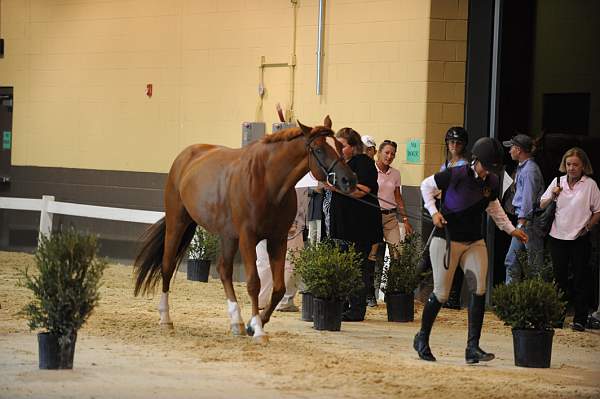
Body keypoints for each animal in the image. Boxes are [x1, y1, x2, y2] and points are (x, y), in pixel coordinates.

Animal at [132, 116, 356, 344]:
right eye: (319, 149)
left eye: (340, 147)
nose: (349, 180)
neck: (267, 182)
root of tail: (185, 156)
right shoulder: (248, 237)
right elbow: (254, 283)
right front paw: (258, 329)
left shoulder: (277, 239)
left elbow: (278, 288)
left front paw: (252, 324)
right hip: (178, 221)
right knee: (167, 265)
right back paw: (165, 318)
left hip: (227, 236)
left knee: (224, 270)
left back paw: (236, 322)